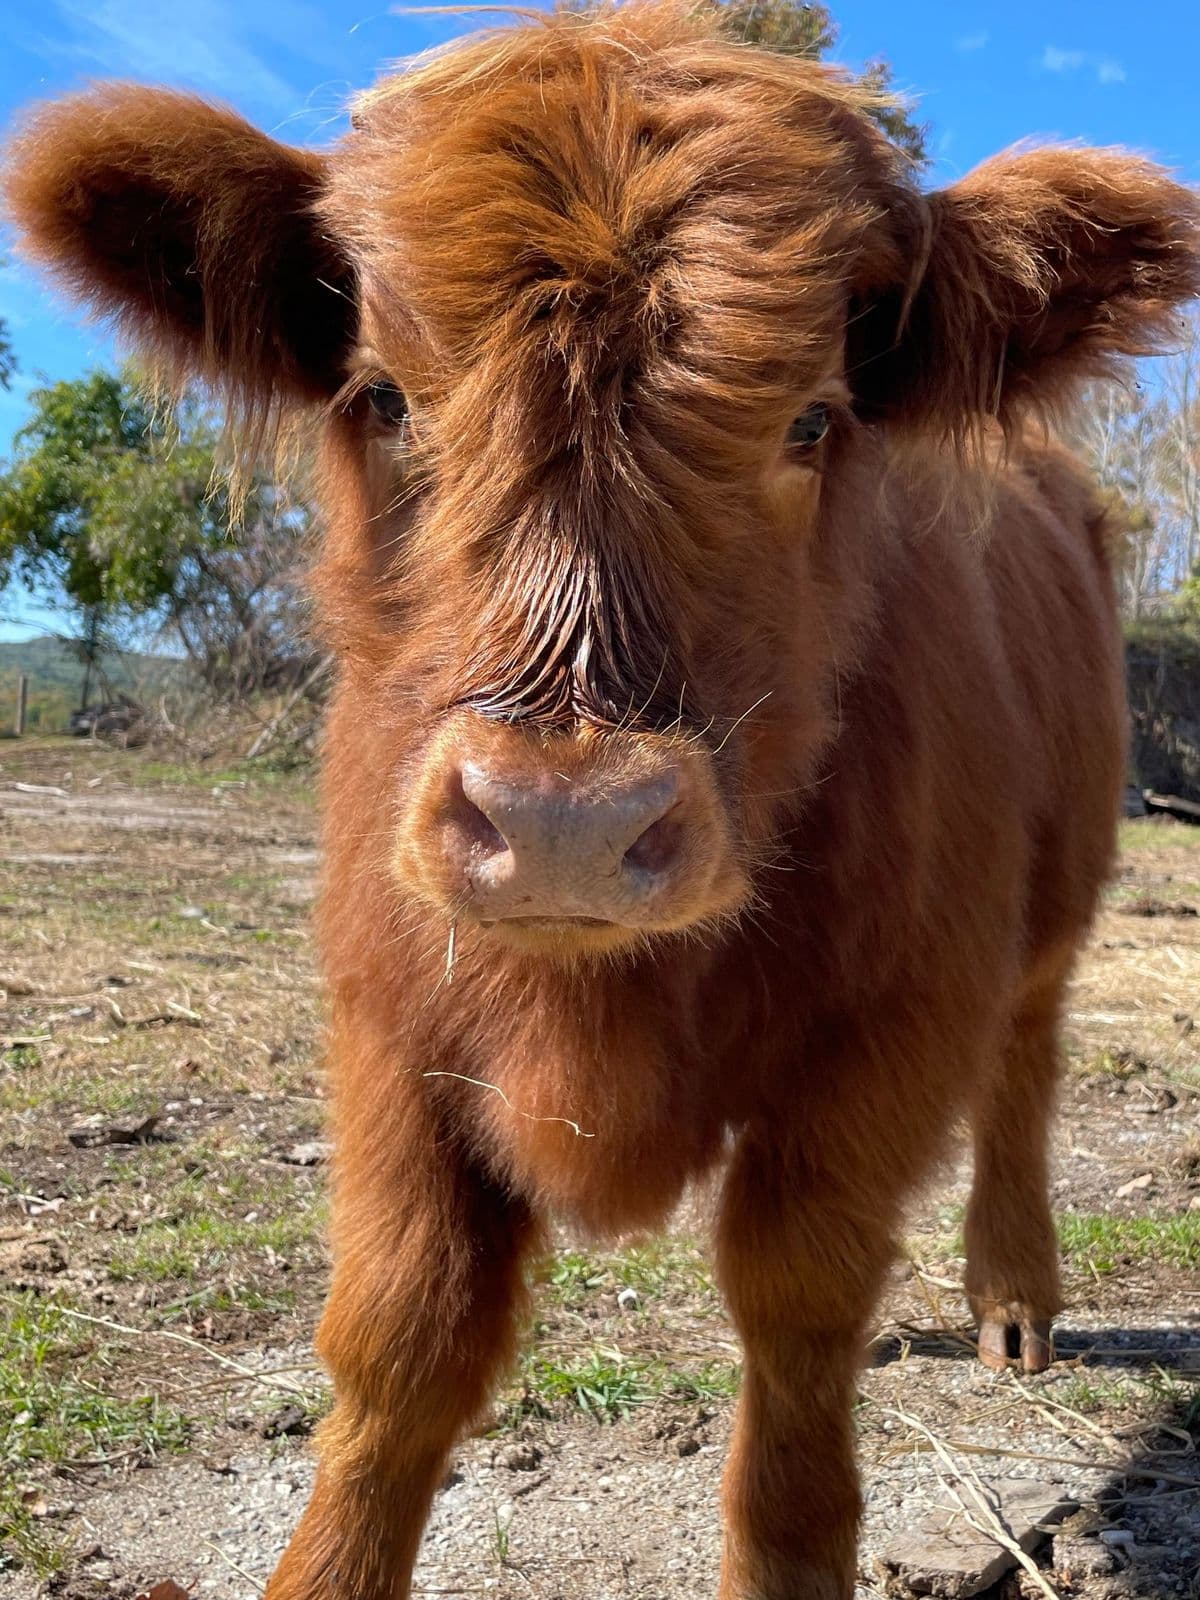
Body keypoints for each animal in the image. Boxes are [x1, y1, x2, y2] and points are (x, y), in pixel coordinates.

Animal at [7, 4, 1199, 1596]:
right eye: (385, 395)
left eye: (811, 423)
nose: (561, 826)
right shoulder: (390, 1012)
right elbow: (398, 1337)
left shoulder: (892, 1027)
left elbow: (797, 1340)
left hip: (1055, 894)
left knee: (1024, 1065)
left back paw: (1012, 1295)